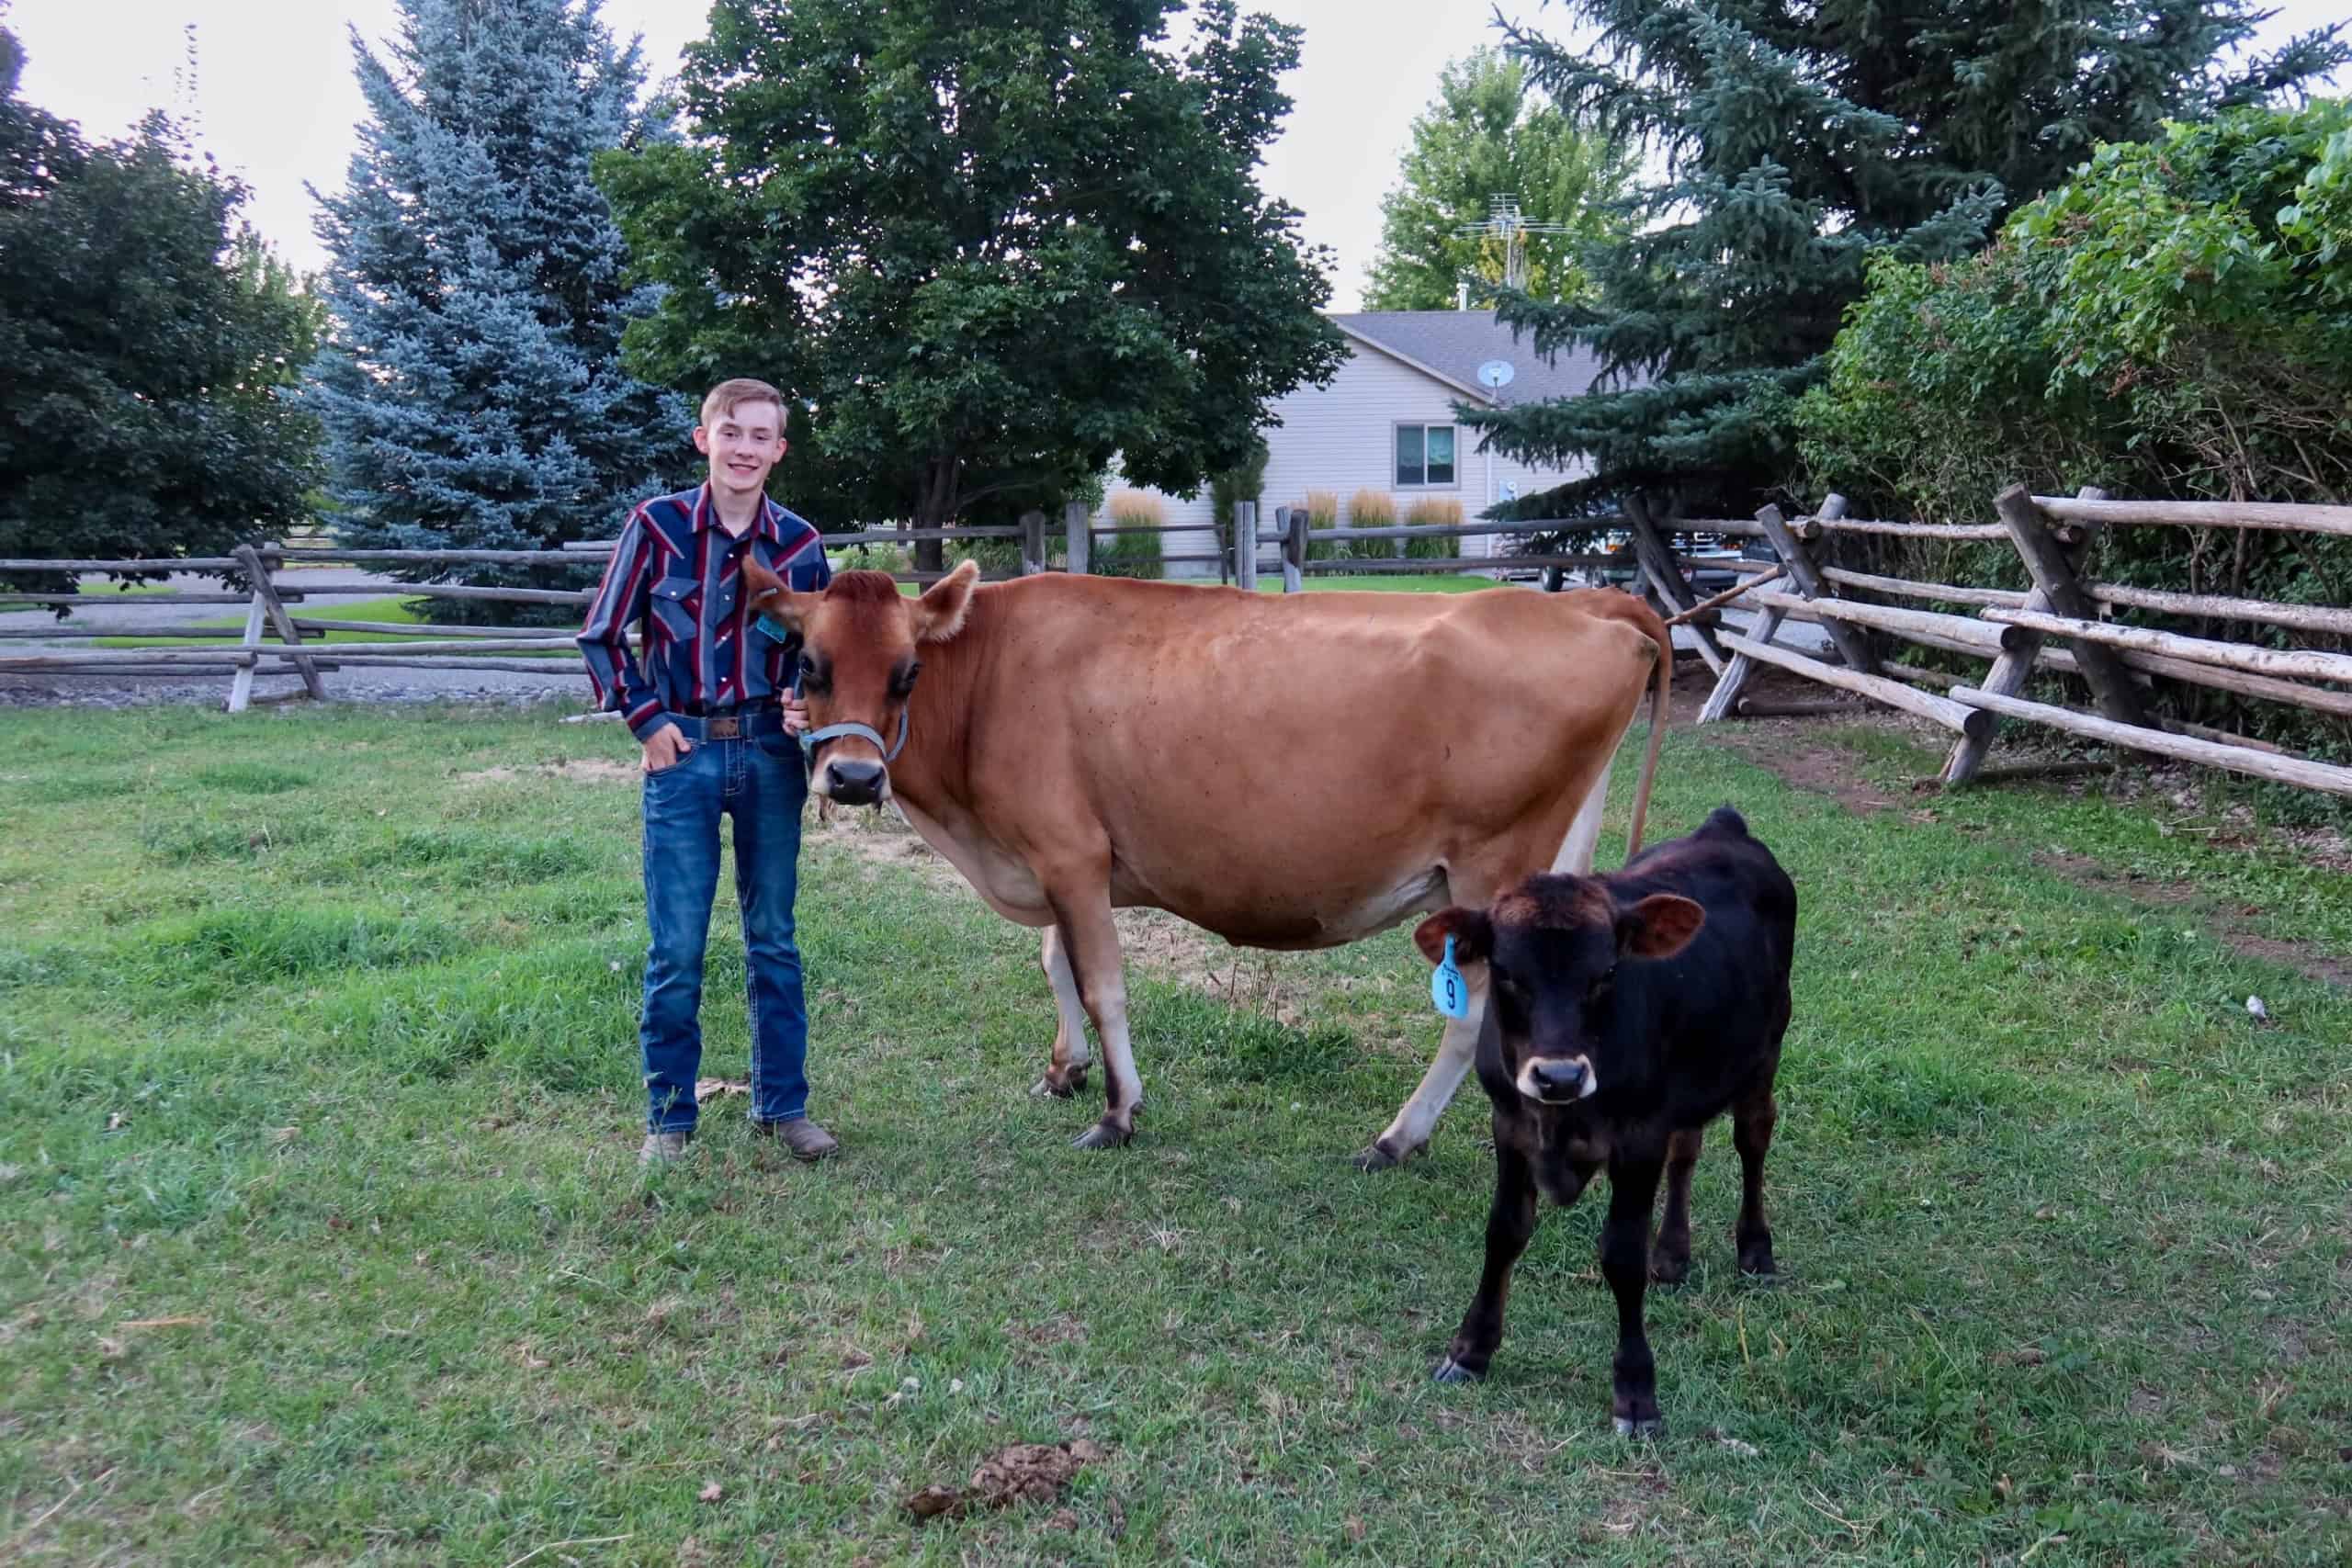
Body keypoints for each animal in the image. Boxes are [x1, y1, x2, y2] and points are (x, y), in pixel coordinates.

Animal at [742, 554, 1665, 1166]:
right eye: (809, 665)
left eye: (907, 673)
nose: (853, 778)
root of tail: (1595, 603)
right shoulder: (1060, 858)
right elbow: (1054, 962)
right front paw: (1064, 1070)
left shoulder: (1070, 852)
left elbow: (1102, 984)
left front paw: (1118, 1111)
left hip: (1492, 863)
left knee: (1474, 1015)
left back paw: (1399, 1136)